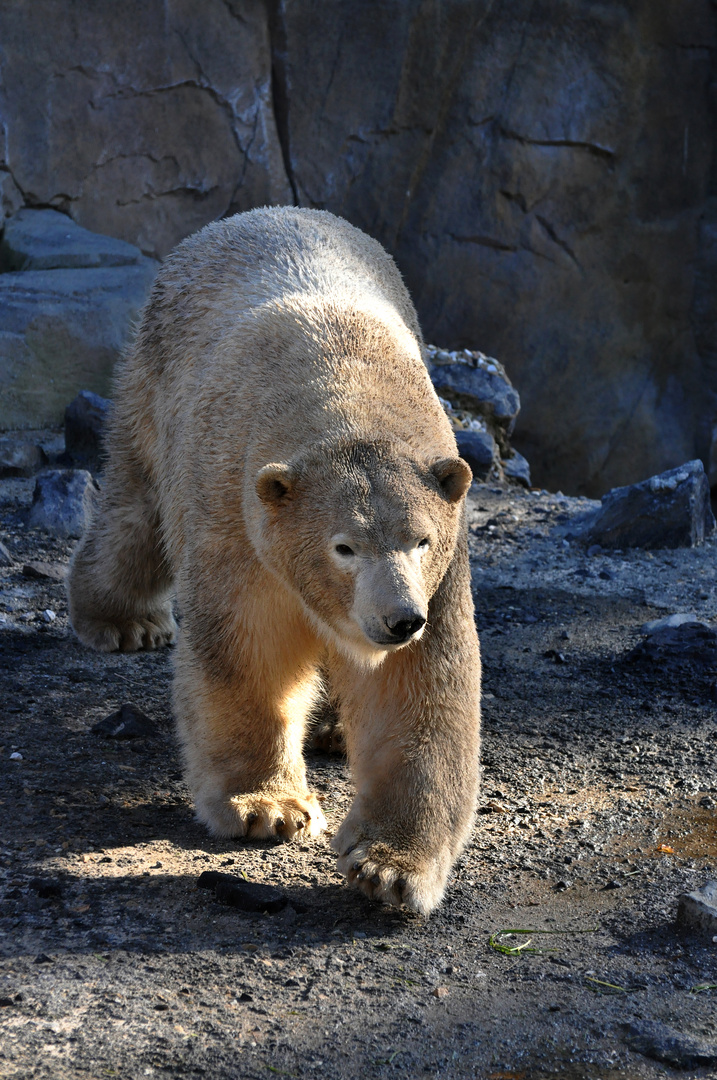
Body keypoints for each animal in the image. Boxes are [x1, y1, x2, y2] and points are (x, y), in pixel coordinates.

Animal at [68, 206, 481, 915]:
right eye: (344, 547)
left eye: (421, 540)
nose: (399, 619)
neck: (348, 381)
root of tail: (254, 214)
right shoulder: (238, 515)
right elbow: (247, 648)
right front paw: (267, 808)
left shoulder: (440, 569)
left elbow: (419, 688)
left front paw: (390, 867)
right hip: (152, 384)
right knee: (136, 512)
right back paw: (124, 621)